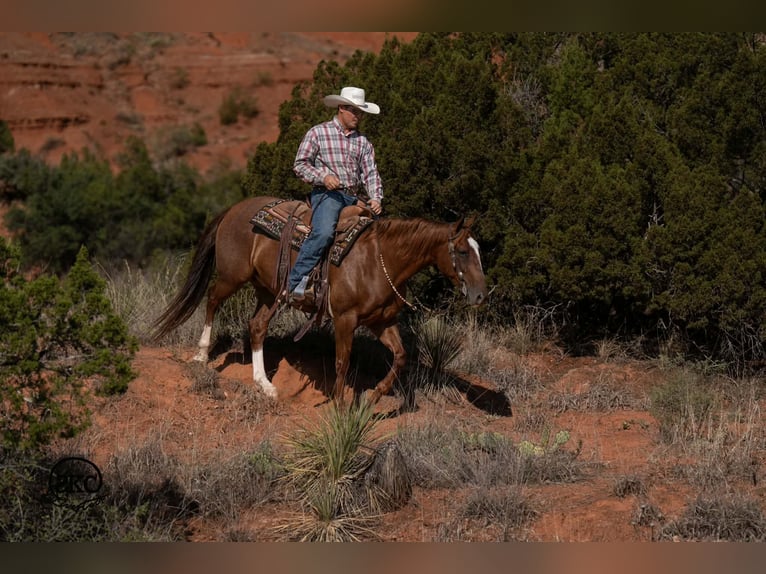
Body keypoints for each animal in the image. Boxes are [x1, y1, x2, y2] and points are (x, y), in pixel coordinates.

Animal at [152, 195, 488, 405]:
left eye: (478, 249)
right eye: (462, 251)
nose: (480, 294)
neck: (380, 261)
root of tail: (235, 209)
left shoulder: (381, 322)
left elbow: (401, 356)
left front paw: (374, 396)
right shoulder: (345, 319)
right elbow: (342, 362)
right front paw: (339, 405)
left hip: (269, 291)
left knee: (257, 326)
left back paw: (265, 384)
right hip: (233, 276)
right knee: (211, 301)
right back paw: (201, 356)